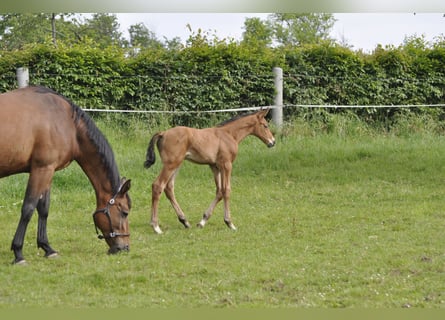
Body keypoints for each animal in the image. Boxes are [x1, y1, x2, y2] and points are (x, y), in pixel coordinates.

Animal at [0, 86, 132, 264]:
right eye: (124, 212)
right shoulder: (42, 169)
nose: (124, 247)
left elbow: (43, 208)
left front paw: (47, 248)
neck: (67, 123)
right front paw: (18, 253)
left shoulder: (48, 171)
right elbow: (28, 208)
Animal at [144, 109, 276, 234]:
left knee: (169, 188)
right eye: (265, 125)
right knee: (158, 186)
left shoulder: (215, 166)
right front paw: (229, 223)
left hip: (177, 165)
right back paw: (156, 227)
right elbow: (226, 190)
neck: (229, 134)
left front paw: (202, 221)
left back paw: (184, 221)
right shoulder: (227, 165)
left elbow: (219, 191)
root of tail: (163, 133)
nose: (273, 142)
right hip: (171, 165)